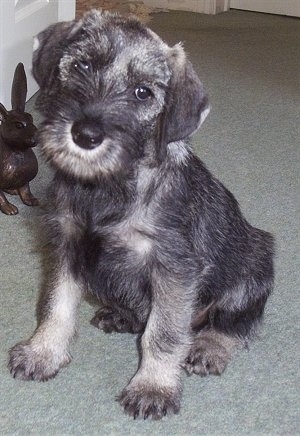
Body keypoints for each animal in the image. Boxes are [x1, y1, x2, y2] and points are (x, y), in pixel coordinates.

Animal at [8, 10, 274, 418]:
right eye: (83, 65)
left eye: (142, 93)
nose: (85, 135)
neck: (106, 186)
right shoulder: (67, 246)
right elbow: (56, 304)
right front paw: (42, 352)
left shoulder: (173, 269)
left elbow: (163, 334)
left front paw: (153, 387)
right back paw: (119, 316)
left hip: (255, 263)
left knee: (234, 323)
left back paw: (208, 347)